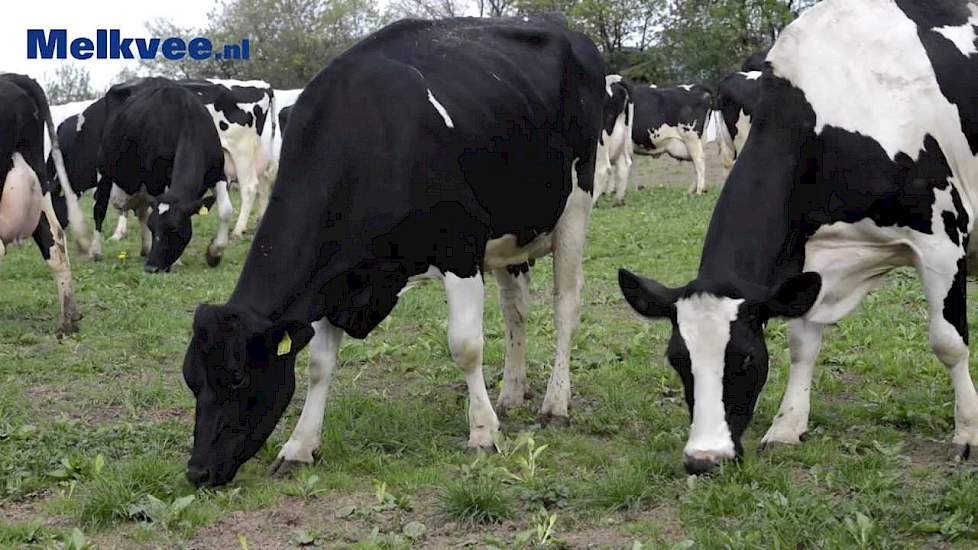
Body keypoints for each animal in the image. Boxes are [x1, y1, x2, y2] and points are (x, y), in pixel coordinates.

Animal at [96, 80, 227, 274]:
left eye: (173, 229)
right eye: (153, 228)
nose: (151, 267)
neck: (186, 119)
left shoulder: (218, 172)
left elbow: (226, 210)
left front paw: (215, 253)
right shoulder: (155, 181)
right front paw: (177, 261)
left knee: (141, 210)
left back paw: (144, 249)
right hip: (104, 170)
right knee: (99, 208)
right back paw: (95, 250)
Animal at [180, 15, 608, 488]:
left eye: (237, 378)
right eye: (191, 380)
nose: (197, 470)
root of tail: (566, 31)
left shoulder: (459, 247)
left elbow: (465, 345)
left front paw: (482, 433)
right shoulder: (333, 277)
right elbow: (319, 365)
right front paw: (299, 446)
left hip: (575, 206)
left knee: (565, 307)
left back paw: (555, 404)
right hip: (512, 232)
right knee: (516, 310)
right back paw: (512, 393)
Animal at [592, 75, 636, 207]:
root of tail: (615, 80)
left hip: (600, 141)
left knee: (603, 169)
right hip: (622, 139)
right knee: (624, 167)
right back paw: (618, 200)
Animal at [616, 0, 976, 474]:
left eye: (747, 356)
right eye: (677, 358)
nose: (704, 460)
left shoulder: (941, 240)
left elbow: (949, 342)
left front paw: (968, 431)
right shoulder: (813, 257)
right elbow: (802, 343)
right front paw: (787, 426)